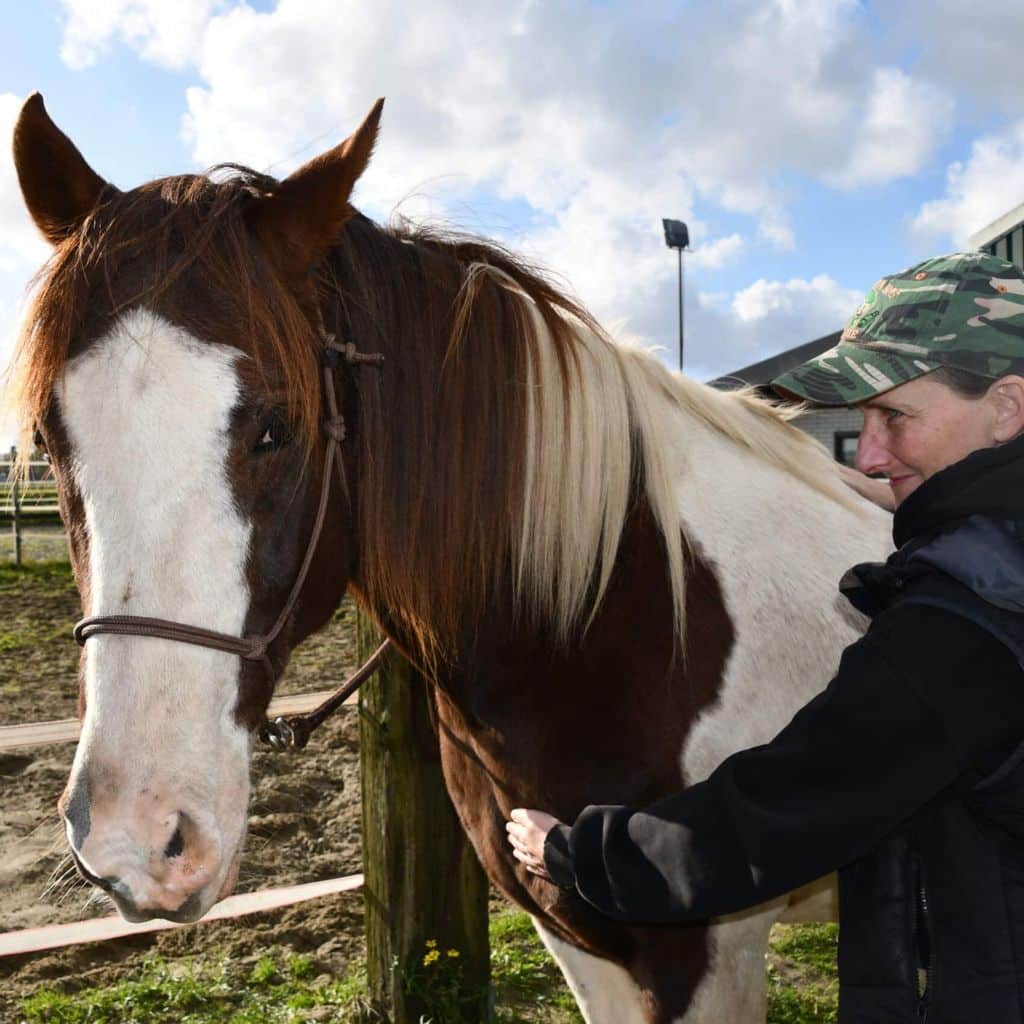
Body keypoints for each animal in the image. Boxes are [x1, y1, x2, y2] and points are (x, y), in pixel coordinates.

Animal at [6, 92, 888, 1019]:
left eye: (276, 428)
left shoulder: (709, 959)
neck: (617, 622)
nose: (138, 837)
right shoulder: (577, 939)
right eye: (49, 439)